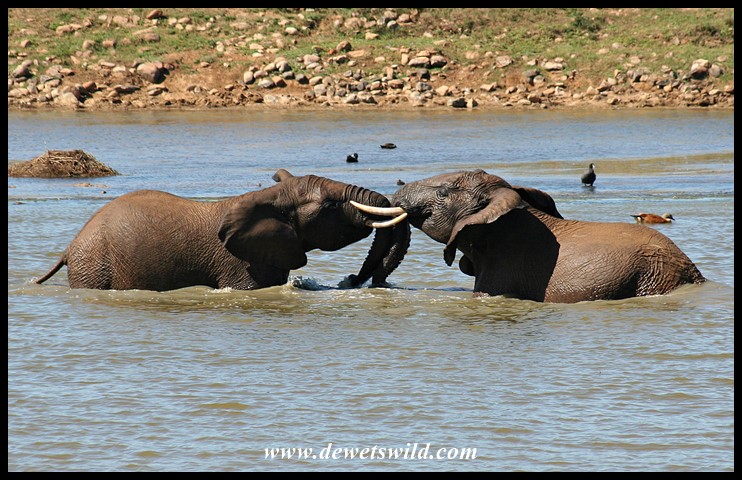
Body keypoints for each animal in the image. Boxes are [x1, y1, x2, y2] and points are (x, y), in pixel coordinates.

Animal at [35, 169, 410, 291]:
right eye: (331, 206)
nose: (352, 280)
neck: (268, 197)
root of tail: (69, 248)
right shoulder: (240, 263)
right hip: (95, 267)